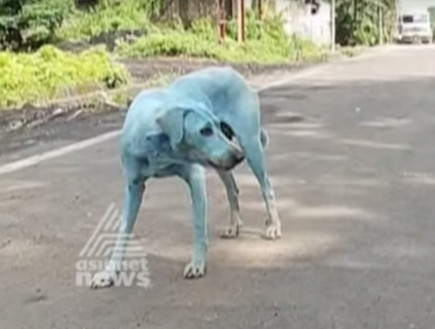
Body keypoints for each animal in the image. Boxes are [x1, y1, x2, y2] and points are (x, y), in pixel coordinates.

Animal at [92, 66, 282, 288]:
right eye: (205, 131)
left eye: (216, 126)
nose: (238, 156)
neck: (158, 144)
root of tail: (233, 71)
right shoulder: (134, 187)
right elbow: (123, 230)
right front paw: (109, 272)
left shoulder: (195, 178)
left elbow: (199, 226)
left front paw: (197, 264)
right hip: (221, 160)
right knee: (232, 189)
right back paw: (234, 225)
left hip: (249, 145)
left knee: (266, 187)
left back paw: (274, 226)